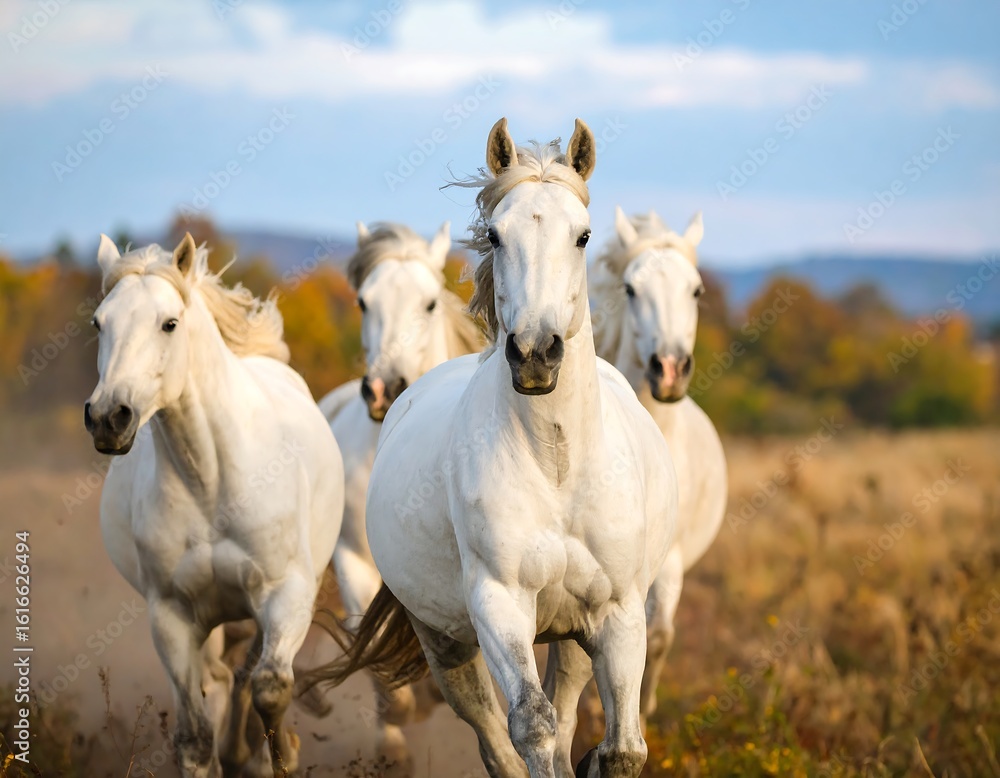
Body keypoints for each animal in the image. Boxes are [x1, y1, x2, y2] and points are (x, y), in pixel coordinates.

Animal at [84, 234, 344, 778]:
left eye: (169, 322)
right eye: (99, 323)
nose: (108, 417)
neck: (211, 483)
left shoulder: (286, 594)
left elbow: (269, 688)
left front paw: (279, 754)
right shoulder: (171, 616)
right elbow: (196, 737)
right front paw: (228, 751)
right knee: (222, 680)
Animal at [588, 206, 728, 728]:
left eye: (697, 290)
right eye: (630, 289)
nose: (668, 369)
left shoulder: (669, 562)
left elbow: (660, 635)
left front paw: (639, 713)